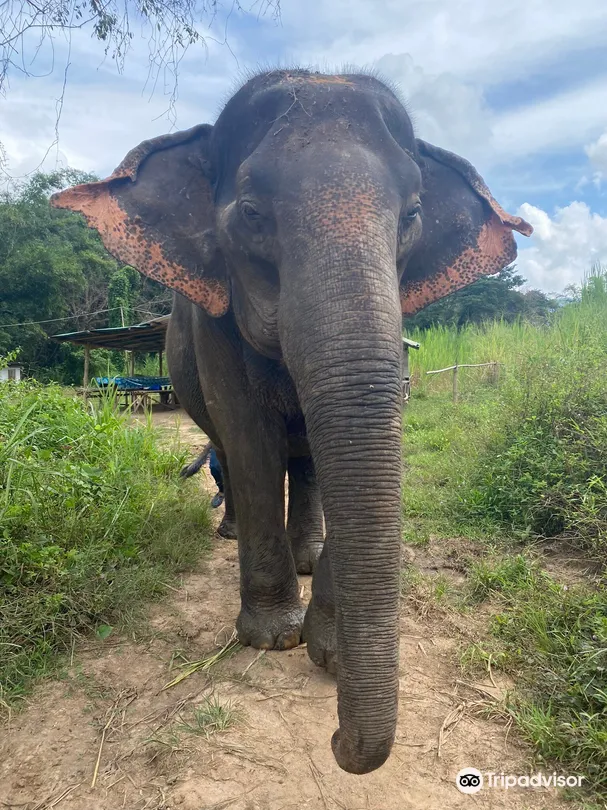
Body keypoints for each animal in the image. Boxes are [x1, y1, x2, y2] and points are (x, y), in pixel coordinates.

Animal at [51, 68, 532, 775]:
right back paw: (234, 535)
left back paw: (305, 559)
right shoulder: (214, 324)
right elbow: (251, 442)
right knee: (232, 451)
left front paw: (324, 646)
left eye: (413, 215)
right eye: (252, 214)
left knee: (304, 462)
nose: (336, 742)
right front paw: (274, 639)